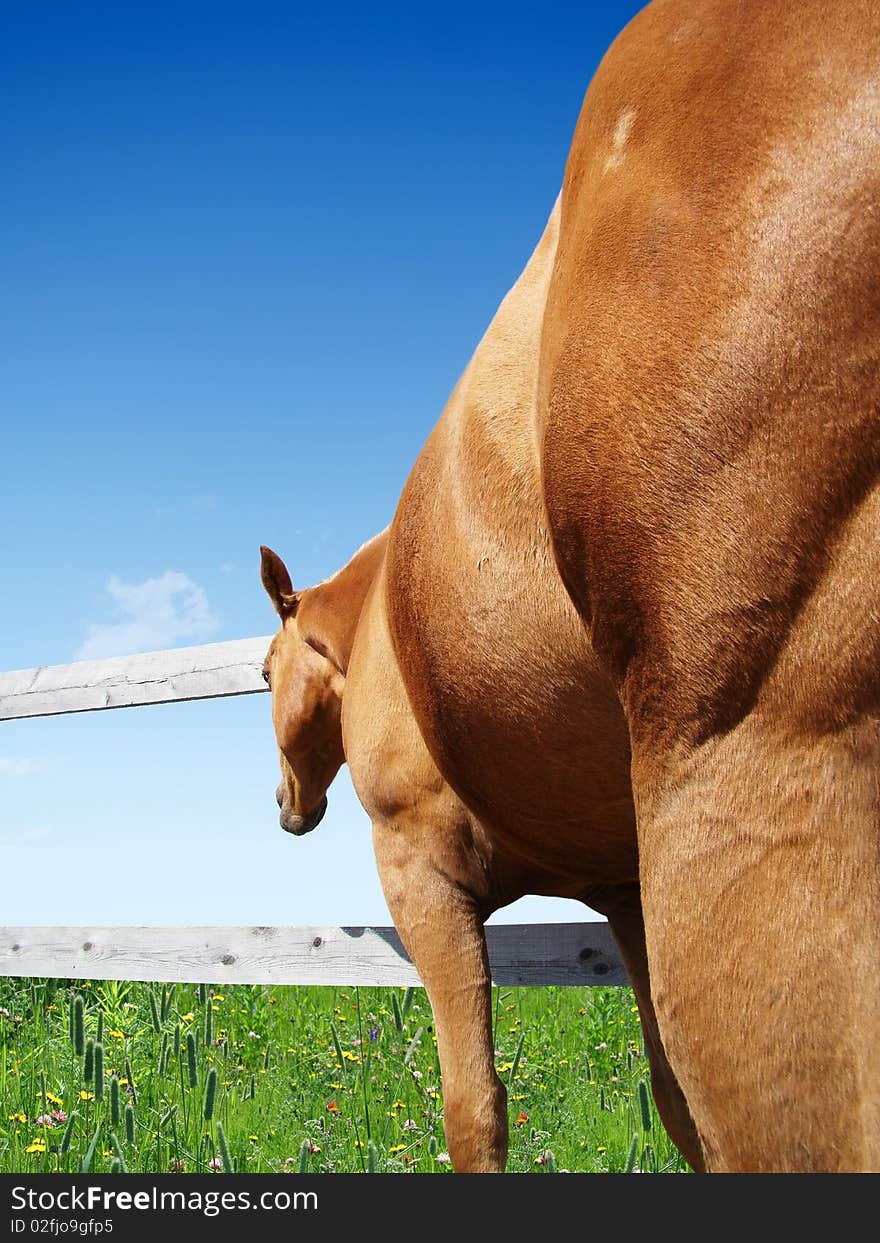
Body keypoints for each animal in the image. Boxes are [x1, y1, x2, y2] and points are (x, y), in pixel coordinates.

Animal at [257, 536, 705, 1173]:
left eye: (266, 671)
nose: (285, 803)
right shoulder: (627, 895)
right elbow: (677, 1099)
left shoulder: (425, 881)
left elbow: (473, 1109)